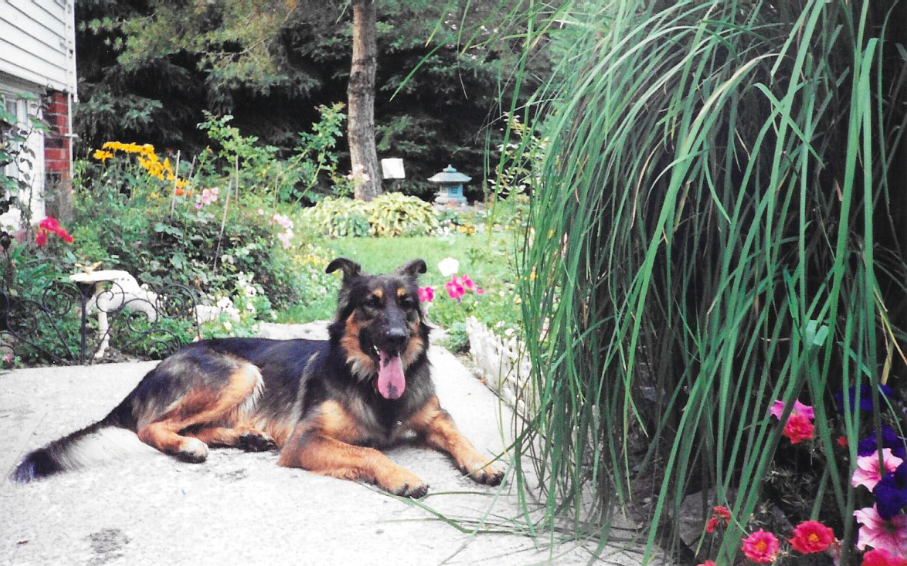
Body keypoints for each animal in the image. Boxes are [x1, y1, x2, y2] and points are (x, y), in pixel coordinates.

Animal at [10, 260, 504, 500]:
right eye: (371, 304)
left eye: (407, 305)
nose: (398, 339)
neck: (367, 380)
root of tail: (158, 365)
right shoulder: (305, 440)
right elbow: (367, 451)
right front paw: (400, 475)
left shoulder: (434, 417)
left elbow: (457, 435)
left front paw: (483, 462)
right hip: (241, 371)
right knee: (151, 427)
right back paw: (190, 447)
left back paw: (245, 436)